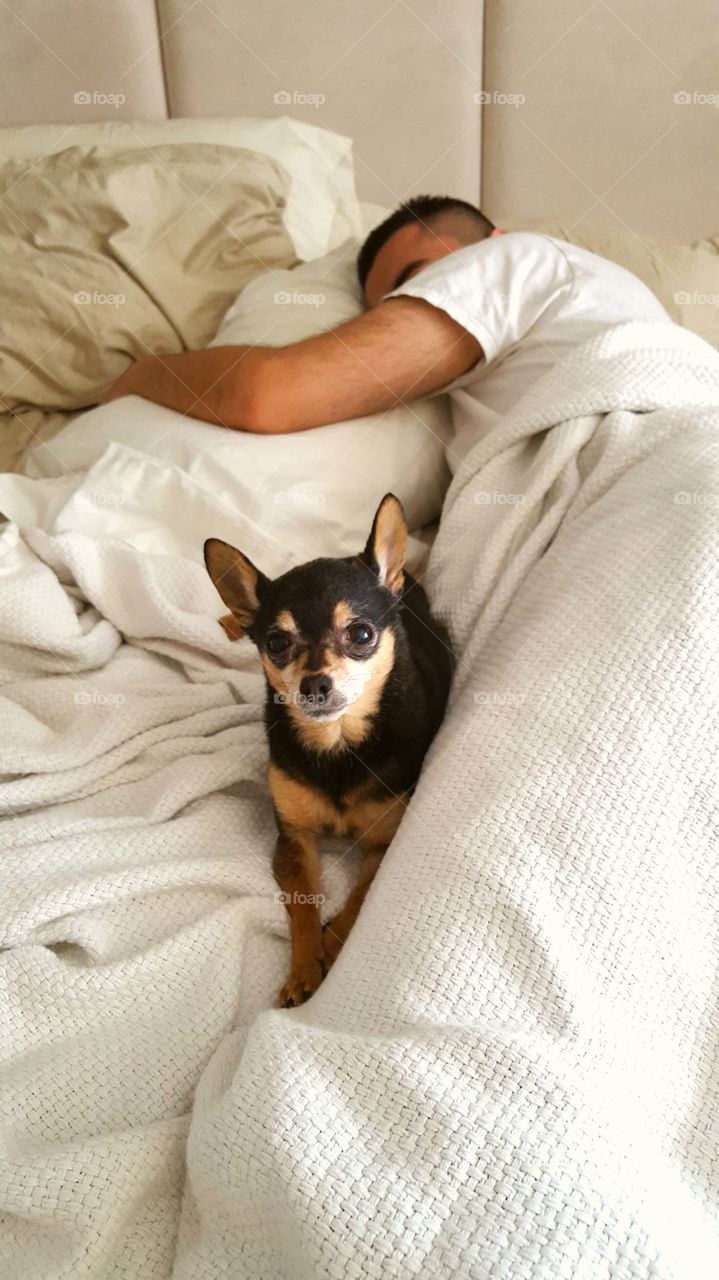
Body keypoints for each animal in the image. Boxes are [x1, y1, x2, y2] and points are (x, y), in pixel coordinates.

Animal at [203, 494, 447, 1003]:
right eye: (277, 642)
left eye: (361, 634)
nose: (314, 684)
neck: (338, 743)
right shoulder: (295, 838)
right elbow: (303, 907)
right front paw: (301, 971)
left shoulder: (383, 843)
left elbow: (358, 901)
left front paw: (332, 949)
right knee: (242, 614)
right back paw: (233, 615)